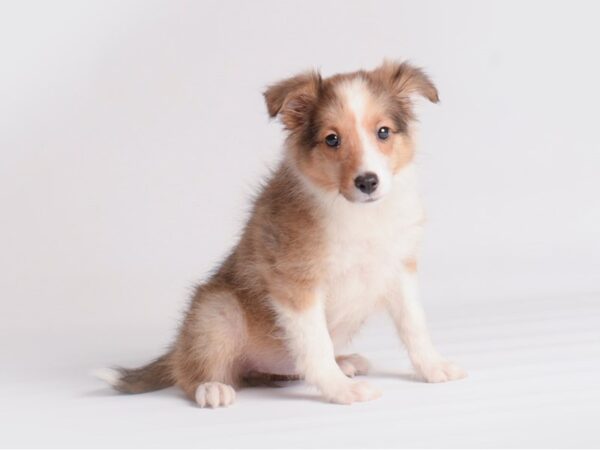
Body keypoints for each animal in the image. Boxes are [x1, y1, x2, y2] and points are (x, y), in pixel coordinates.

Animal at [96, 59, 466, 408]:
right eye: (332, 139)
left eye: (384, 132)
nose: (367, 182)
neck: (361, 215)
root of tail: (178, 347)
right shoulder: (296, 283)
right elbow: (316, 344)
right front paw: (341, 391)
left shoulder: (400, 269)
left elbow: (414, 326)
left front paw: (434, 367)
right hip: (218, 311)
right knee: (189, 370)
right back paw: (212, 387)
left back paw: (344, 361)